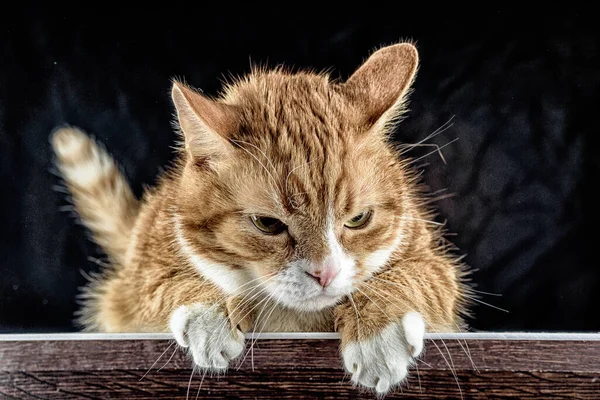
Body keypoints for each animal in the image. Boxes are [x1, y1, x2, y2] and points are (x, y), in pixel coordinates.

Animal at [50, 43, 468, 394]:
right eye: (268, 225)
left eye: (359, 219)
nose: (325, 274)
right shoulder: (139, 280)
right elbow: (173, 281)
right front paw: (210, 316)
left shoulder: (435, 268)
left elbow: (402, 278)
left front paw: (378, 336)